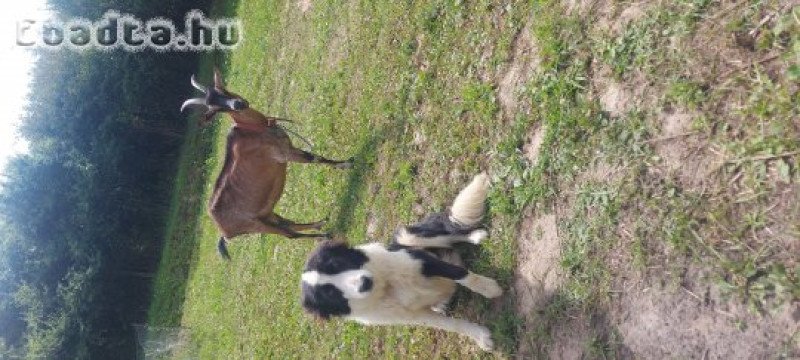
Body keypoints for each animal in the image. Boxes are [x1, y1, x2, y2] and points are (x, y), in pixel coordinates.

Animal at [186, 68, 354, 258]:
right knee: (290, 234)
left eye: (222, 90)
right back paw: (324, 235)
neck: (255, 130)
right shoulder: (285, 154)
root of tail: (222, 231)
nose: (238, 104)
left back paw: (319, 224)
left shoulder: (289, 146)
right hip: (257, 226)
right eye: (216, 109)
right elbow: (315, 158)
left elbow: (316, 157)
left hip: (265, 214)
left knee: (287, 223)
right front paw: (346, 164)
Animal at [300, 174, 500, 352]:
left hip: (408, 236)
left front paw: (491, 289)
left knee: (452, 232)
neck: (385, 288)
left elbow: (463, 275)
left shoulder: (422, 260)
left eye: (337, 264)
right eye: (332, 295)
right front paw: (480, 337)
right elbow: (451, 325)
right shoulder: (415, 316)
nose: (365, 282)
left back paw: (475, 236)